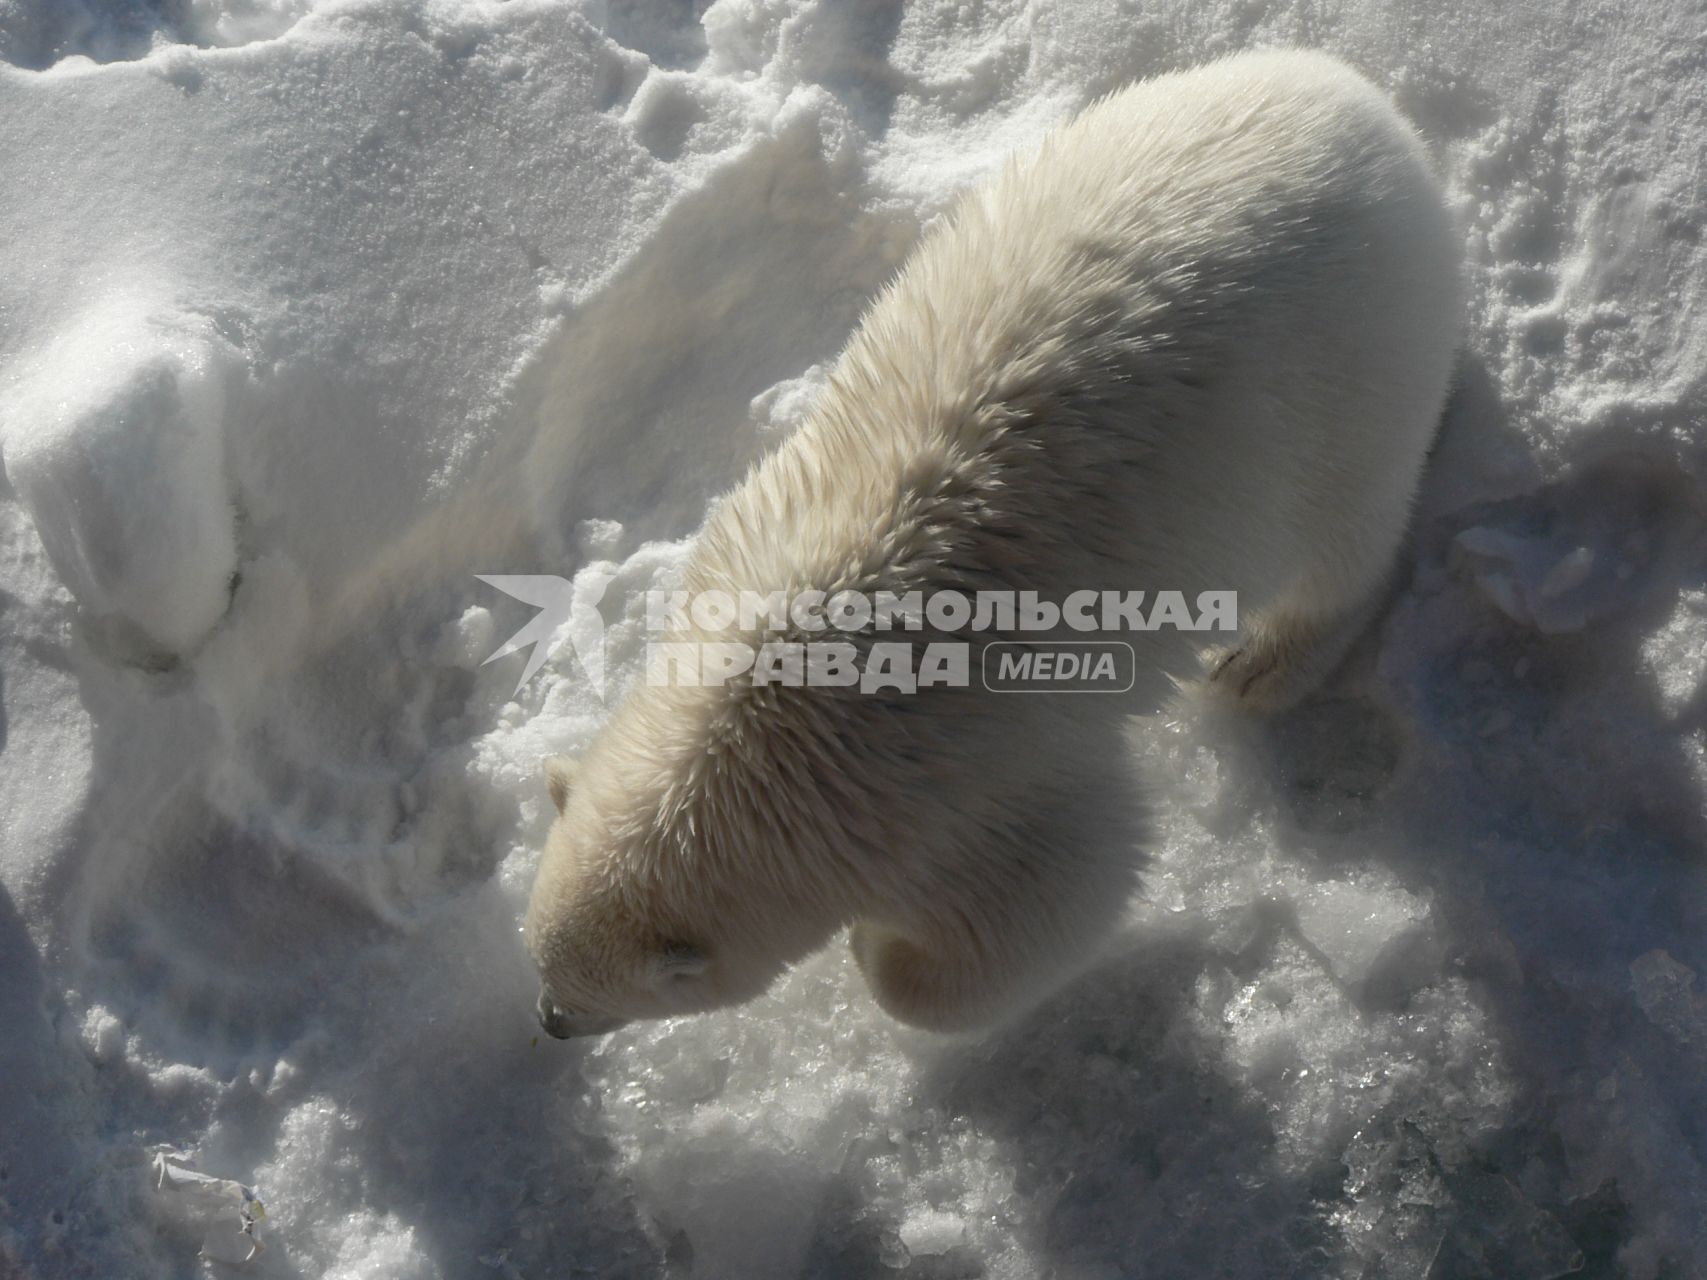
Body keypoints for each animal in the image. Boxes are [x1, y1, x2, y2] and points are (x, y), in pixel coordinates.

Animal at [518, 50, 1454, 1044]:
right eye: (537, 957)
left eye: (598, 998)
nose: (547, 1021)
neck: (759, 731)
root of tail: (1366, 104)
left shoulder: (964, 792)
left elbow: (1062, 888)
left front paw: (878, 952)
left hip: (1350, 361)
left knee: (1346, 528)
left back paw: (1258, 666)